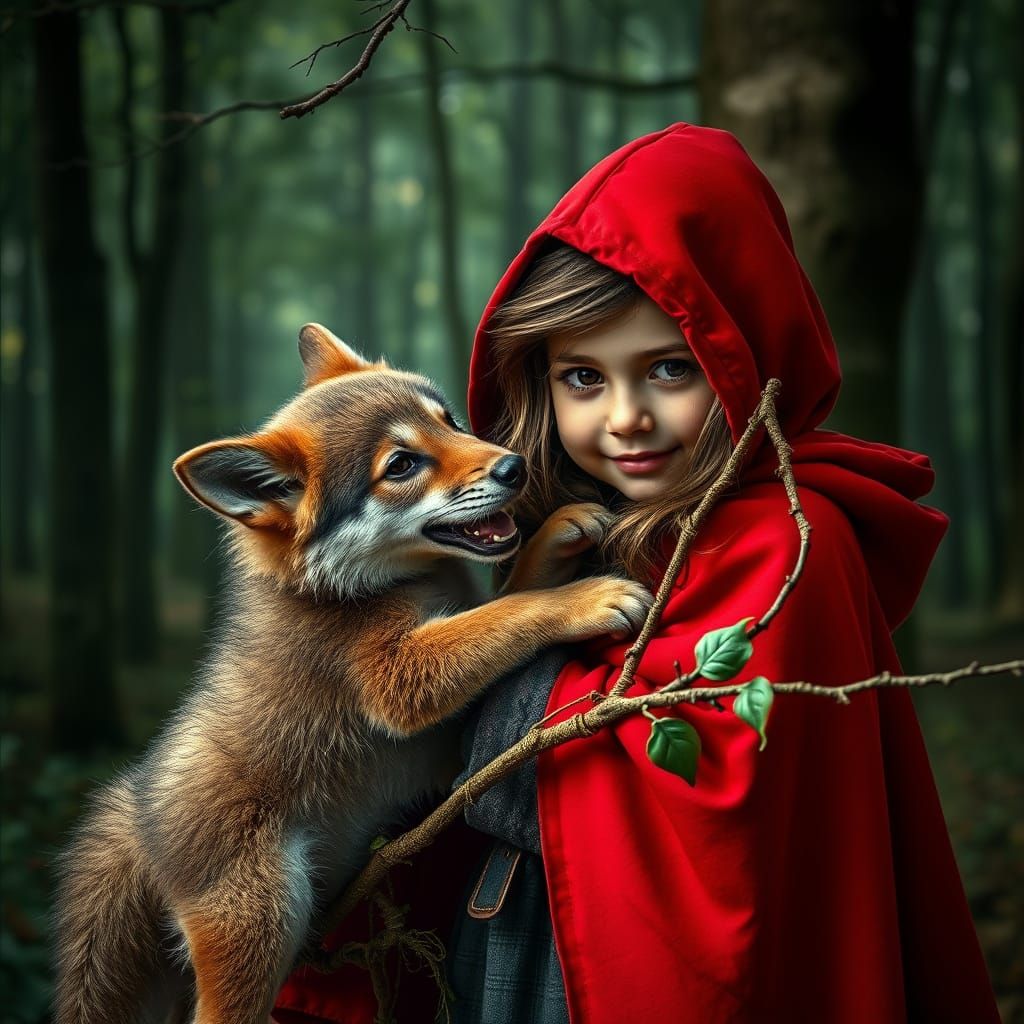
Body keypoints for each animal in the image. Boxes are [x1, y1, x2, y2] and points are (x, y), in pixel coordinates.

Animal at [53, 324, 652, 1024]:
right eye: (401, 467)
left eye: (449, 421)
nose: (513, 466)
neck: (350, 588)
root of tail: (139, 817)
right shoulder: (399, 677)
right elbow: (508, 611)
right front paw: (585, 598)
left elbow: (504, 593)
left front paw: (559, 532)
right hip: (262, 921)